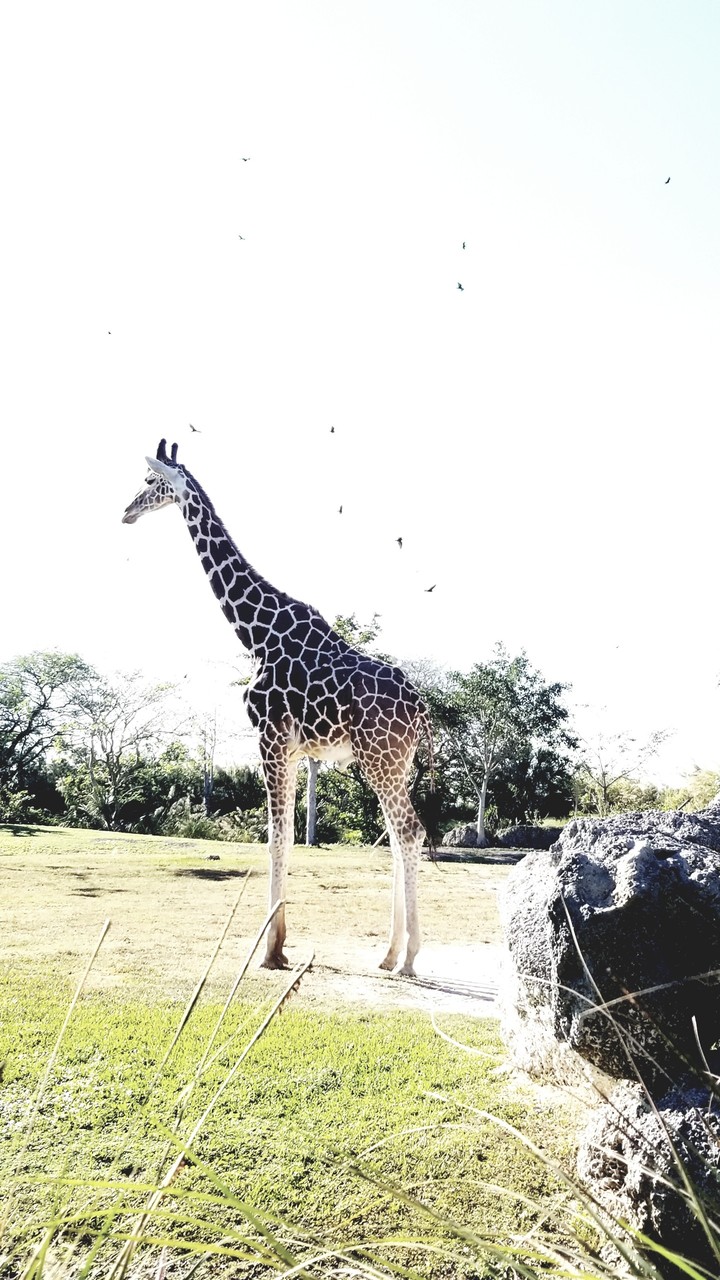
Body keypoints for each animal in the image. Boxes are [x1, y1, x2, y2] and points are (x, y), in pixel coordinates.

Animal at [122, 440, 433, 976]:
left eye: (150, 482)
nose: (126, 511)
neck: (255, 633)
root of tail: (420, 708)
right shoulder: (289, 748)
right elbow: (285, 836)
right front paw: (279, 944)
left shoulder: (268, 735)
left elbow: (275, 837)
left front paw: (269, 949)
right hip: (395, 762)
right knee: (397, 836)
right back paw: (389, 953)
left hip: (381, 759)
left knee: (409, 832)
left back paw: (410, 959)